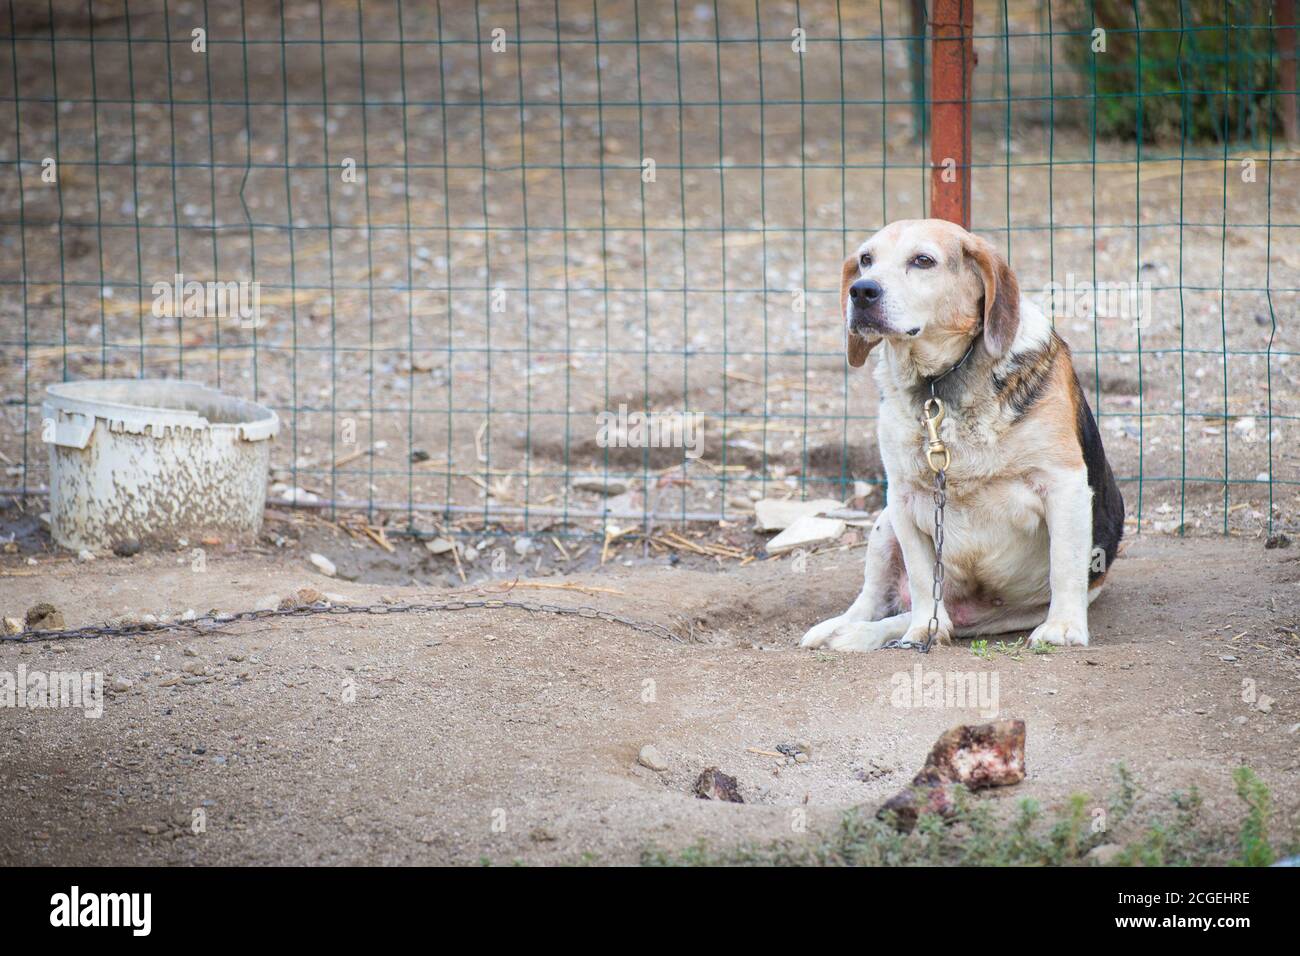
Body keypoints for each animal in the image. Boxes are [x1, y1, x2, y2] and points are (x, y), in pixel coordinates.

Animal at [795, 218, 1123, 650]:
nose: (861, 291)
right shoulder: (902, 497)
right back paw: (843, 630)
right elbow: (921, 580)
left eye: (923, 260)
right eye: (866, 260)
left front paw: (1064, 627)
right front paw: (921, 629)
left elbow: (1065, 565)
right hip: (884, 526)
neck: (938, 383)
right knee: (875, 602)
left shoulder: (1063, 483)